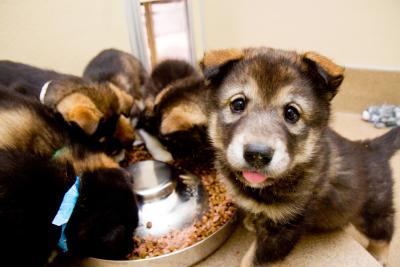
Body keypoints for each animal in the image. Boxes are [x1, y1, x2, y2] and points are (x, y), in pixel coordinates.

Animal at [184, 47, 396, 266]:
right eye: (238, 104)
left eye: (291, 113)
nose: (257, 154)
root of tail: (372, 146)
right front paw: (252, 219)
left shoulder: (283, 227)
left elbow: (255, 259)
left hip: (372, 210)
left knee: (384, 231)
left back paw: (379, 256)